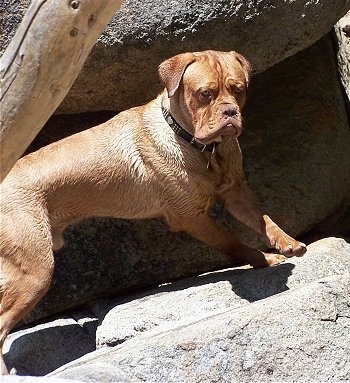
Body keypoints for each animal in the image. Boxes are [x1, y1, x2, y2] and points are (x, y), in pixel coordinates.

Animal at [0, 51, 306, 376]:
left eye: (238, 90)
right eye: (205, 94)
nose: (229, 112)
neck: (198, 146)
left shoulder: (236, 193)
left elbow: (264, 221)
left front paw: (286, 243)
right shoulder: (190, 216)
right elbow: (233, 242)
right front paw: (262, 259)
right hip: (35, 270)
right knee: (2, 325)